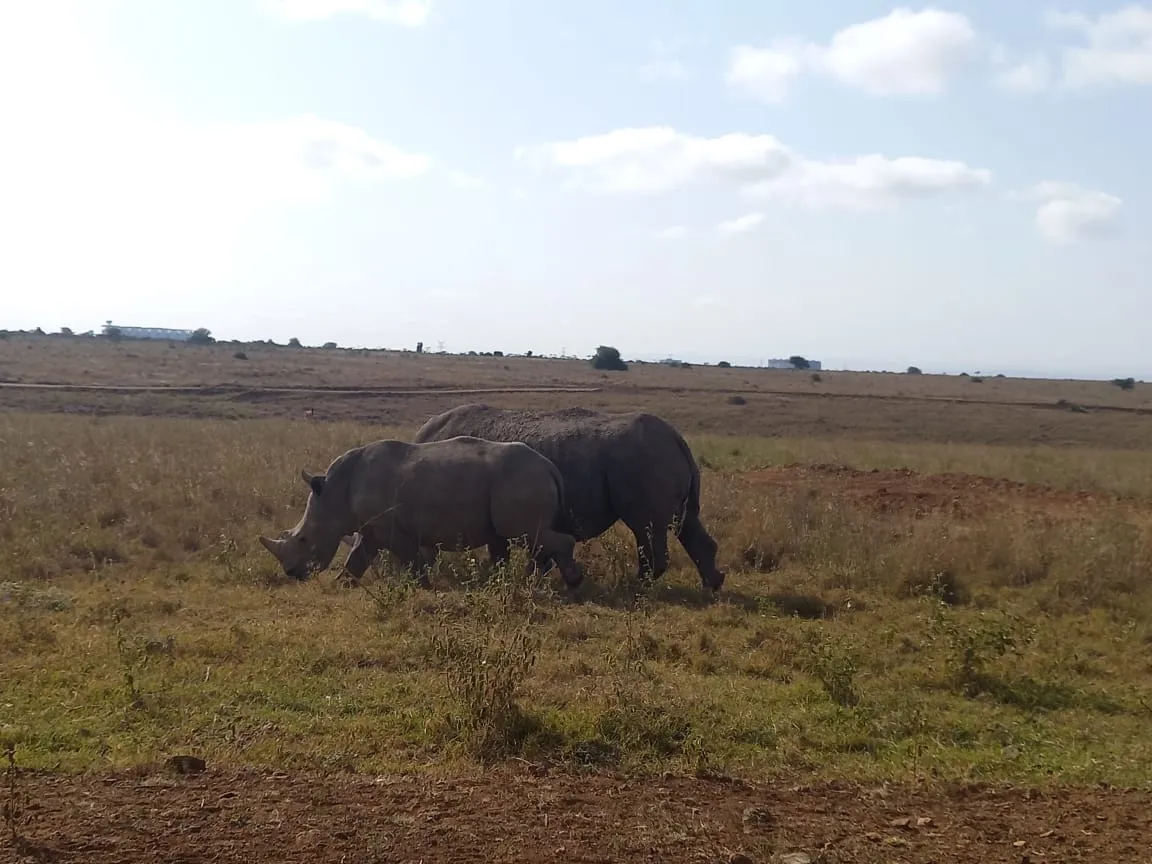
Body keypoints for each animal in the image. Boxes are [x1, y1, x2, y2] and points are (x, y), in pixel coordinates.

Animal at [258, 435, 584, 589]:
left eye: (303, 539)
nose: (292, 573)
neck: (334, 494)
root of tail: (549, 466)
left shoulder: (392, 527)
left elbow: (410, 558)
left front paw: (422, 586)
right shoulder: (371, 527)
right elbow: (357, 557)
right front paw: (342, 584)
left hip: (520, 480)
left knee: (528, 534)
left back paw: (571, 582)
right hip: (520, 479)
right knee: (522, 539)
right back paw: (521, 582)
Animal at [410, 404, 725, 592]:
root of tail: (676, 437)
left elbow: (502, 550)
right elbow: (508, 550)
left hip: (643, 458)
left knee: (645, 526)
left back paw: (632, 587)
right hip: (655, 455)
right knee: (685, 521)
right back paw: (712, 585)